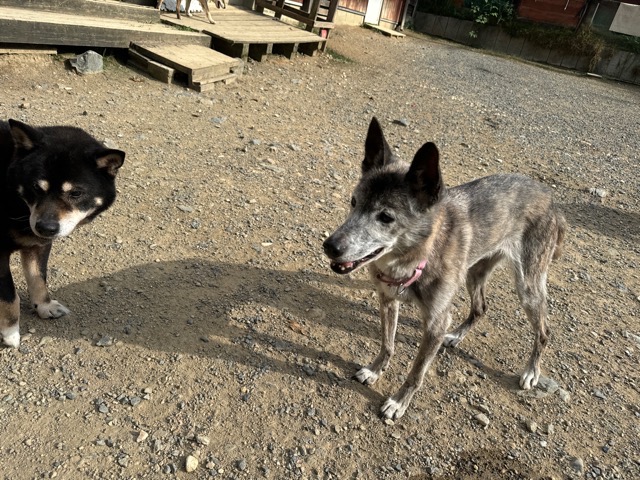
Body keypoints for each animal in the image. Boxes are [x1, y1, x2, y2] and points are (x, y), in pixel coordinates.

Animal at [0, 120, 125, 348]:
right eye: (35, 187)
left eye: (75, 193)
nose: (45, 228)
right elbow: (9, 297)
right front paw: (10, 333)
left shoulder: (37, 244)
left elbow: (38, 278)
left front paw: (44, 306)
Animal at [323, 117, 566, 420]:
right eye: (353, 202)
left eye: (386, 217)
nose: (329, 246)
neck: (416, 258)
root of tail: (551, 199)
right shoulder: (388, 300)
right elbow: (387, 344)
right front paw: (375, 370)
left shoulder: (436, 324)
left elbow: (416, 373)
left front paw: (399, 402)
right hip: (474, 272)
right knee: (480, 307)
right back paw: (457, 337)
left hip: (528, 286)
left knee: (544, 331)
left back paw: (532, 372)